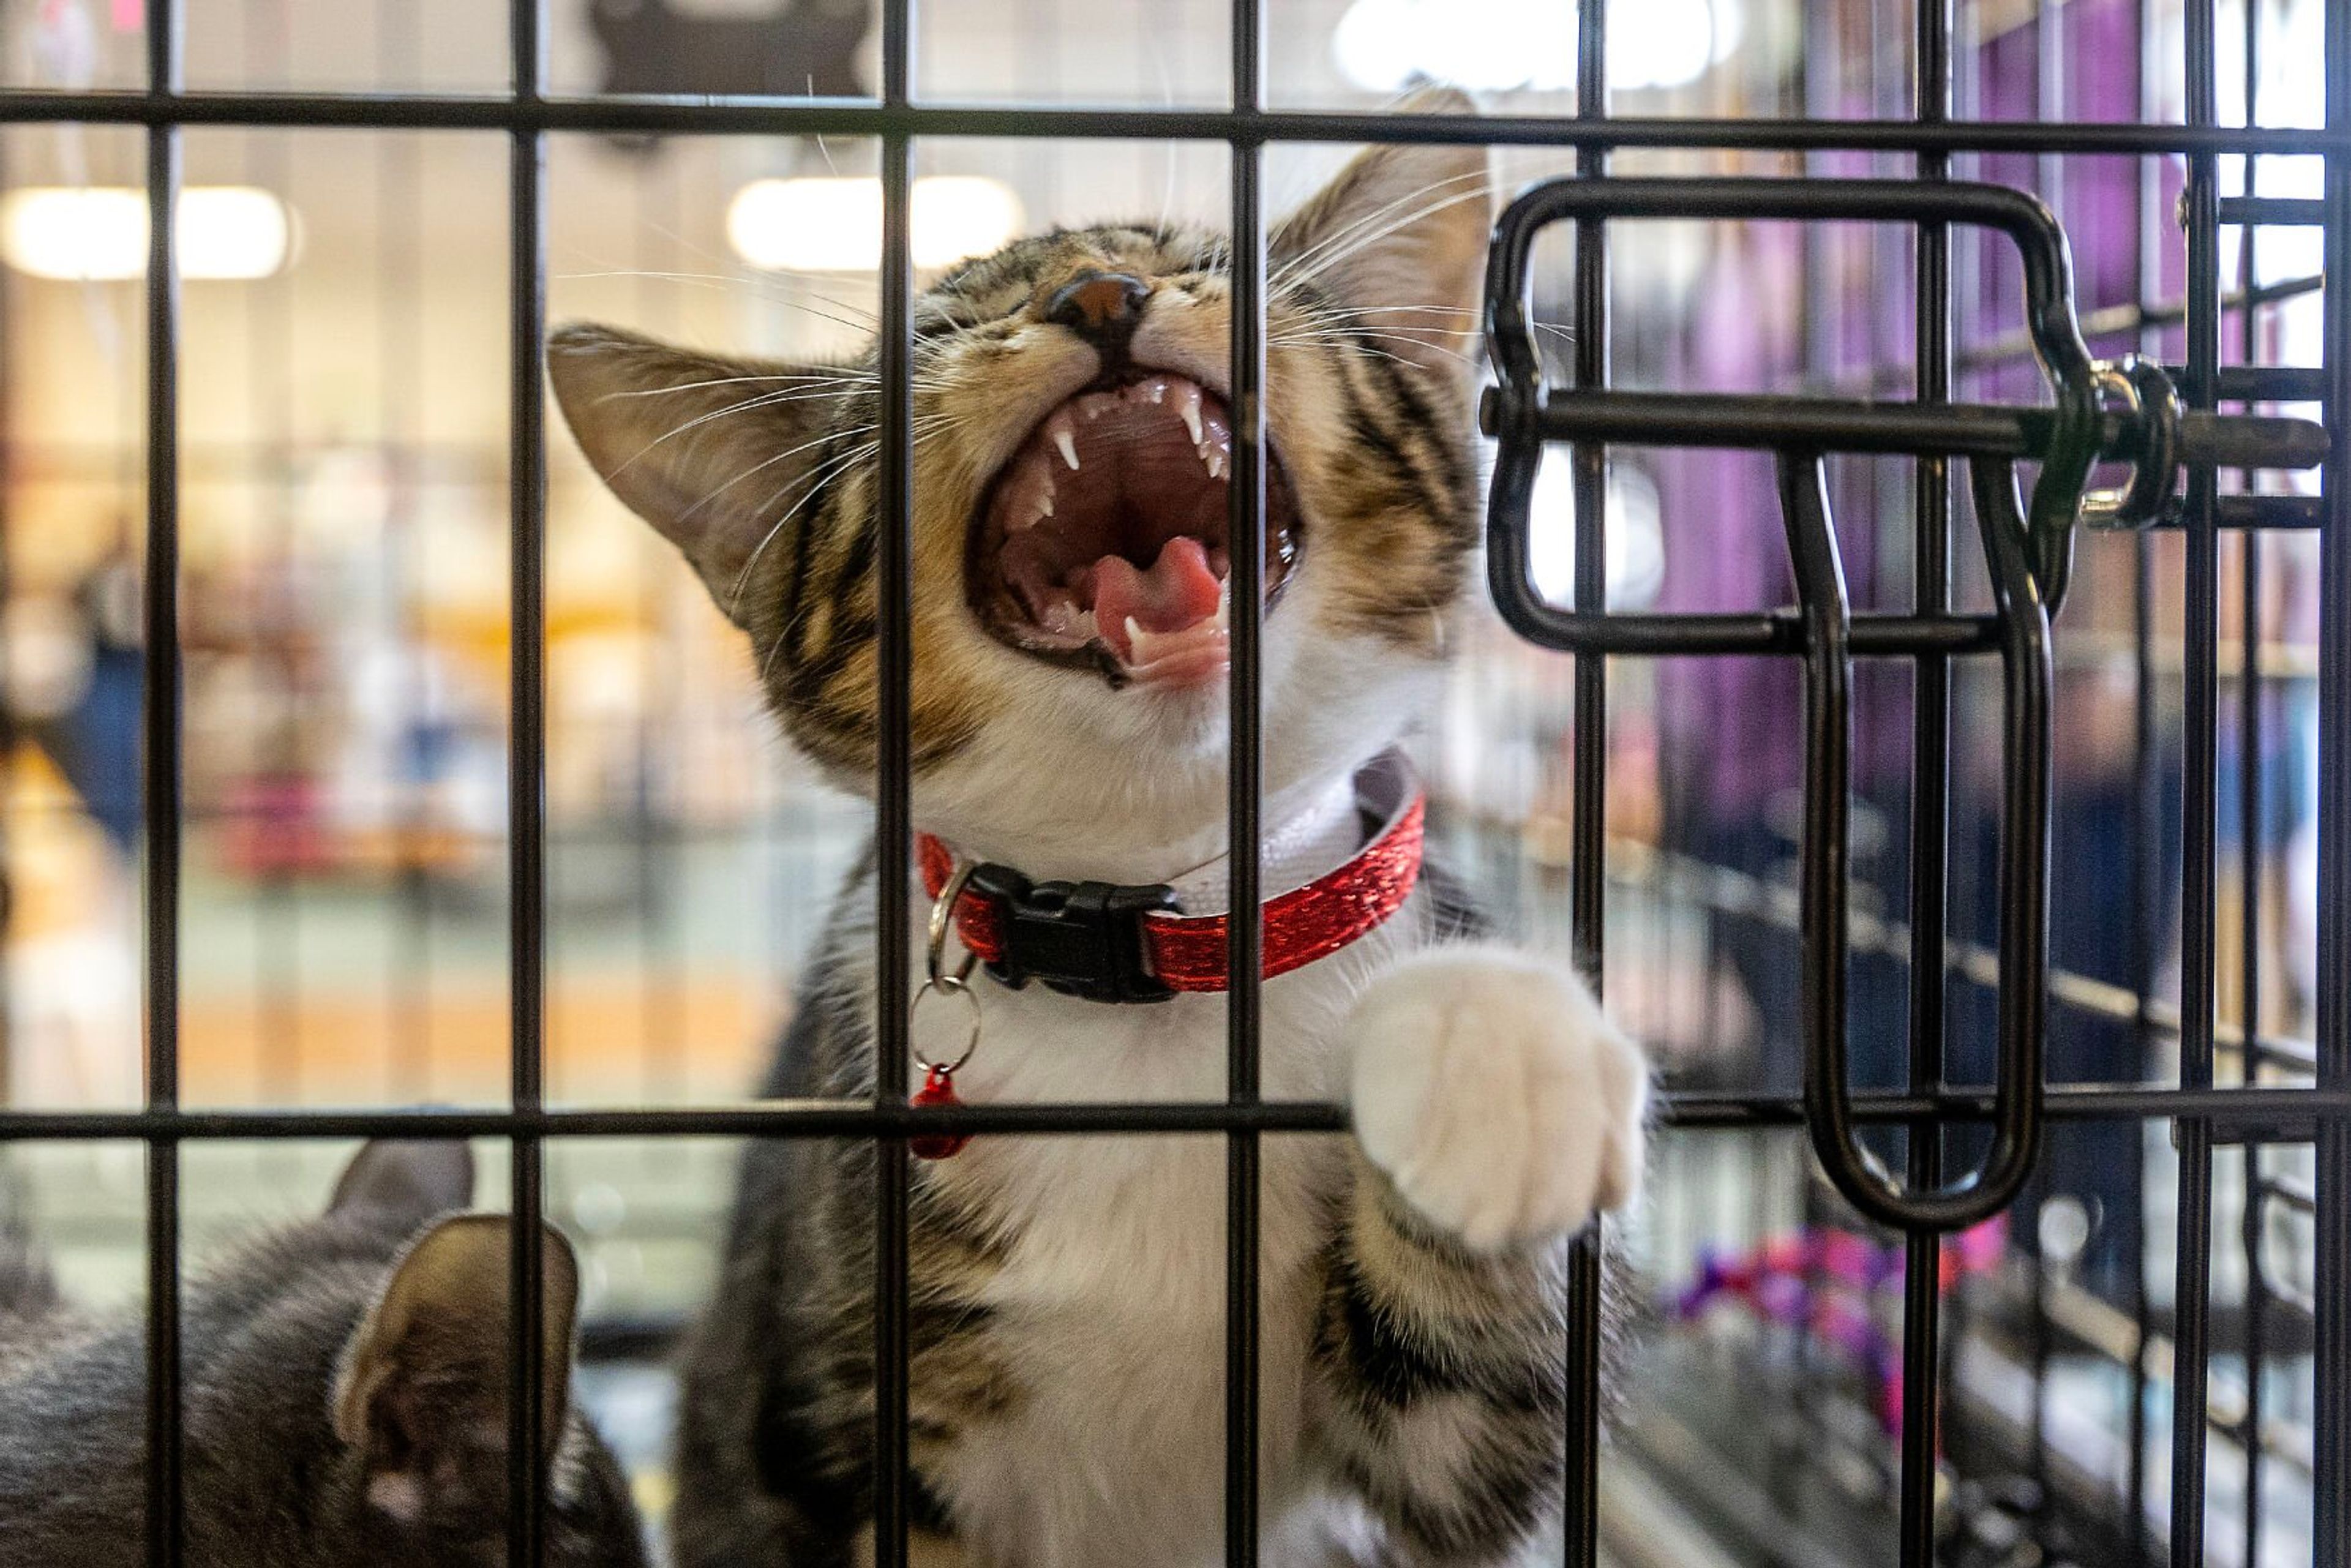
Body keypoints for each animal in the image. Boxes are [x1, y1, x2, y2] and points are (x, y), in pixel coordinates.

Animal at [550, 88, 1655, 1568]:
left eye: (1207, 265)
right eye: (939, 334)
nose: (1098, 294)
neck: (1157, 957)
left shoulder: (1439, 1471)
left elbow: (1476, 1430)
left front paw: (1496, 1048)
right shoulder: (819, 1428)